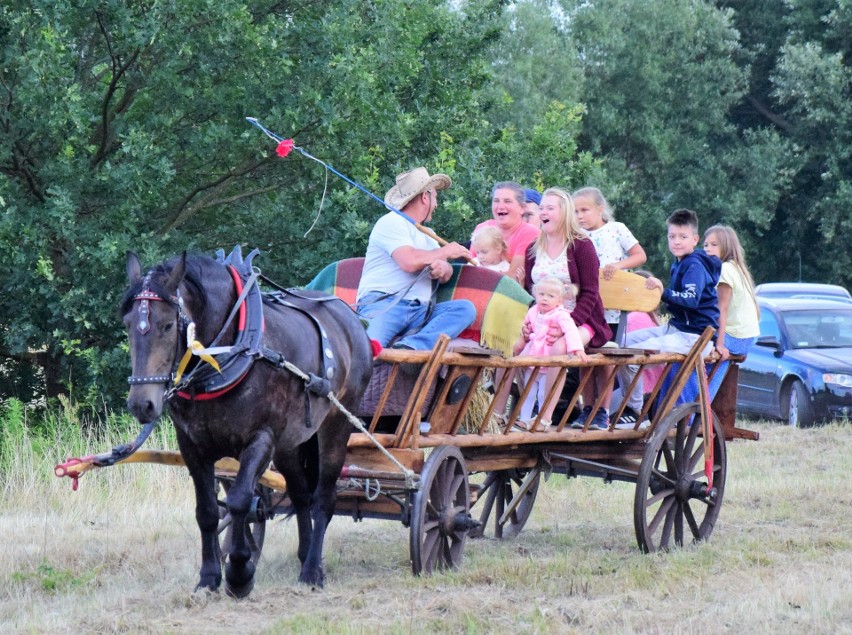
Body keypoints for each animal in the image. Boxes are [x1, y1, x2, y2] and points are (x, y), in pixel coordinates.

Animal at [122, 250, 372, 596]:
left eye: (168, 324)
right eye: (128, 325)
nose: (141, 404)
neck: (228, 354)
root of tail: (350, 319)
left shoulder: (261, 439)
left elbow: (240, 501)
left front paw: (239, 572)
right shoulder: (192, 446)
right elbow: (208, 512)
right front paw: (209, 577)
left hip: (336, 424)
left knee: (323, 499)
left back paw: (312, 571)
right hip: (290, 442)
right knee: (301, 495)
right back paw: (305, 556)